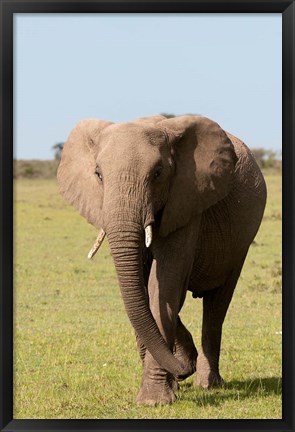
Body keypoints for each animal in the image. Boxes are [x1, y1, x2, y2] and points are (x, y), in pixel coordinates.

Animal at [57, 114, 268, 404]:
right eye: (98, 175)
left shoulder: (187, 200)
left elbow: (164, 285)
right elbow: (146, 291)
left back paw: (207, 383)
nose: (182, 371)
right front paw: (174, 380)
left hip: (240, 242)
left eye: (158, 174)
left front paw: (154, 401)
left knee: (217, 304)